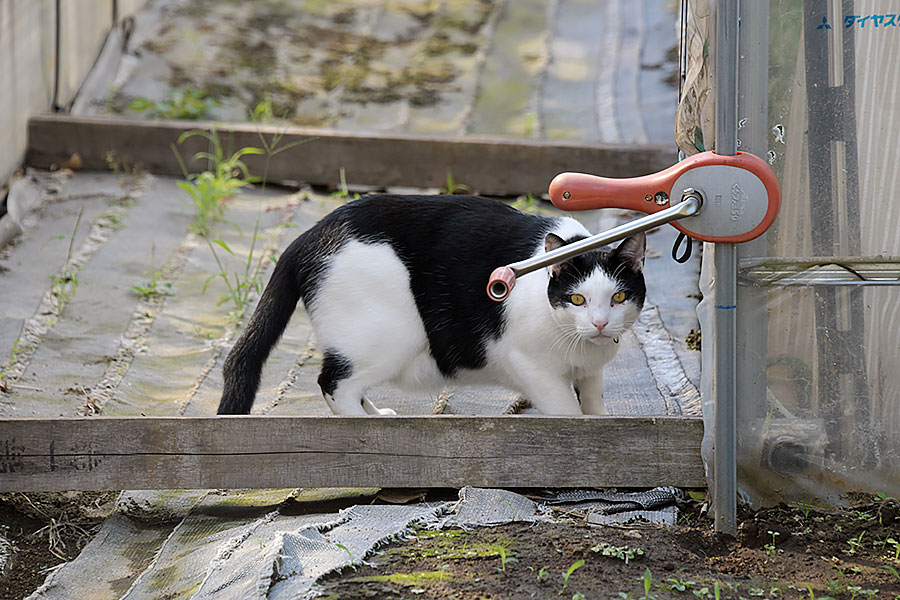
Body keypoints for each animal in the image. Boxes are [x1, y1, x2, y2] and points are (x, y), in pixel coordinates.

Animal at [220, 195, 648, 414]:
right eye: (577, 298)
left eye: (619, 297)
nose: (600, 324)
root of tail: (308, 235)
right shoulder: (532, 367)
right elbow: (569, 416)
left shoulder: (590, 373)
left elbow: (595, 410)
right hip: (387, 337)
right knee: (334, 383)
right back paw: (363, 427)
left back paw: (378, 417)